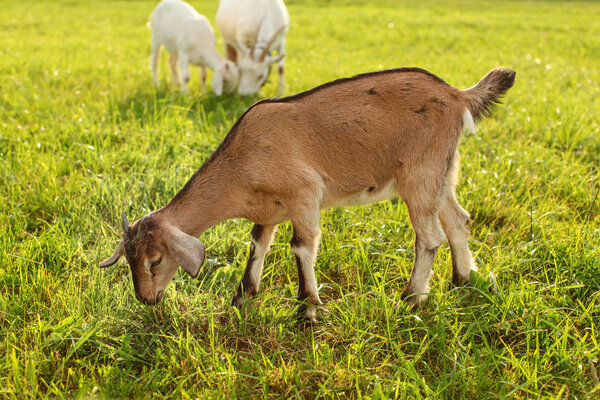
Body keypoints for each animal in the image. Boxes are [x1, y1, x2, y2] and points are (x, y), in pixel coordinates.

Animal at [99, 67, 516, 320]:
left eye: (155, 260)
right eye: (129, 260)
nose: (146, 298)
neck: (244, 158)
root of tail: (458, 95)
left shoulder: (304, 195)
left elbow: (301, 246)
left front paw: (309, 309)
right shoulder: (268, 211)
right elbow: (257, 244)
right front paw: (243, 296)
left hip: (419, 173)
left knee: (430, 237)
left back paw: (411, 299)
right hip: (443, 172)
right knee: (458, 220)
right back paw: (462, 279)